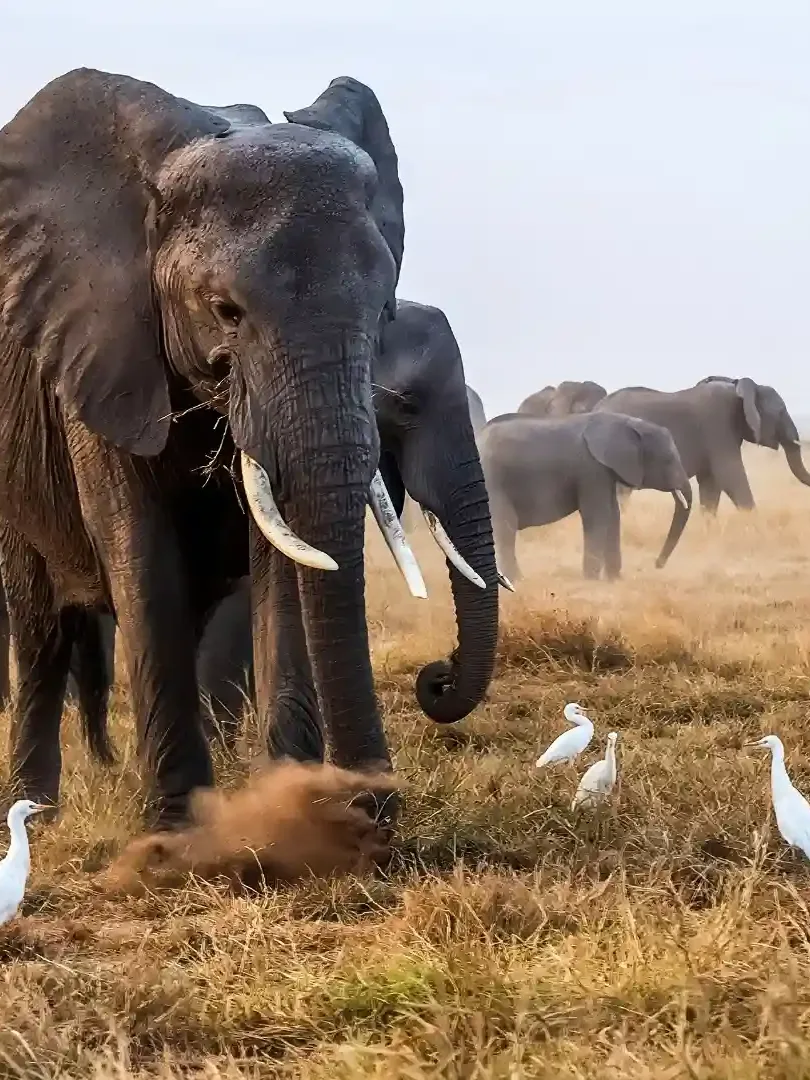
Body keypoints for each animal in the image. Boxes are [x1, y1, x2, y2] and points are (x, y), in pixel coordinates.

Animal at [0, 67, 434, 829]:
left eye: (383, 310)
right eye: (226, 311)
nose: (374, 804)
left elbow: (281, 553)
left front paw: (290, 808)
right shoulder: (100, 348)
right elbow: (138, 546)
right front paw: (176, 829)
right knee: (41, 627)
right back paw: (34, 816)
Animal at [477, 411, 692, 581]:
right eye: (668, 459)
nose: (657, 564)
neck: (627, 422)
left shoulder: (605, 471)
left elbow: (613, 515)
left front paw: (614, 580)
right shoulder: (591, 468)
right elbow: (598, 515)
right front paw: (592, 580)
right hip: (493, 480)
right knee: (505, 526)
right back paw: (517, 580)